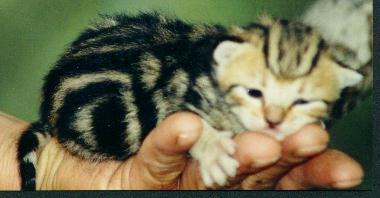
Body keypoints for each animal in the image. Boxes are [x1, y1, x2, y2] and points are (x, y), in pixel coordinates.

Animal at [16, 13, 364, 189]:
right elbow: (188, 119)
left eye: (303, 101)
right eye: (254, 92)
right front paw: (212, 152)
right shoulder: (168, 92)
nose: (273, 121)